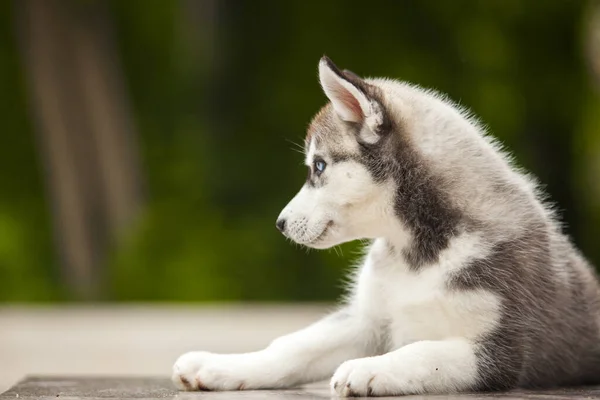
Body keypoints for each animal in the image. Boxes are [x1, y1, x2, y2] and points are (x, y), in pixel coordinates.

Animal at [172, 56, 600, 396]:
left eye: (319, 166)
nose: (280, 224)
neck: (417, 252)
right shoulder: (368, 320)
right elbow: (293, 346)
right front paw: (222, 365)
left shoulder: (500, 351)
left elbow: (424, 351)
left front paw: (370, 368)